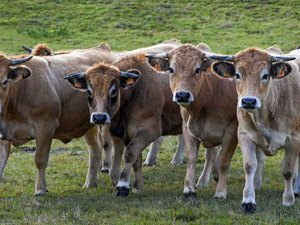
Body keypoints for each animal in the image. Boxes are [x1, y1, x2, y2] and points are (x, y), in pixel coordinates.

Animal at [0, 44, 118, 195]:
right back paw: (91, 182)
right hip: (90, 124)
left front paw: (40, 189)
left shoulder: (45, 128)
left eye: (4, 81)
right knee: (96, 147)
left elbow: (40, 159)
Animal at [211, 46, 300, 214]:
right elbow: (250, 165)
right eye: (237, 75)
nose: (248, 101)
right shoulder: (245, 135)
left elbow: (288, 170)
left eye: (265, 75)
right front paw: (248, 201)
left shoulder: (293, 140)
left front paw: (288, 200)